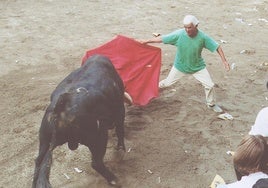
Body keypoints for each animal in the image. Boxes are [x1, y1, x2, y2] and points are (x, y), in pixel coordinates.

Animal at [31, 55, 126, 187]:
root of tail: (61, 105)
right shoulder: (120, 109)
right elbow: (120, 129)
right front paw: (121, 149)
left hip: (44, 139)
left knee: (38, 161)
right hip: (98, 137)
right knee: (96, 162)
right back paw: (114, 179)